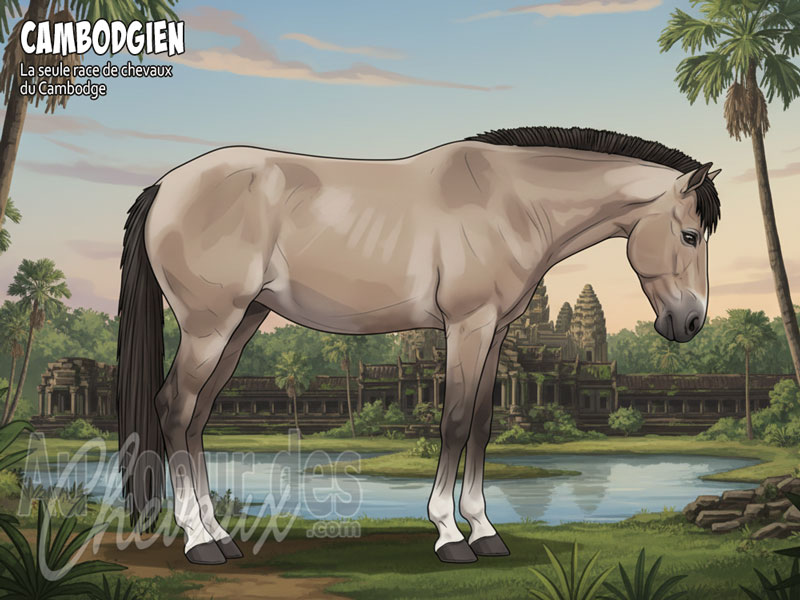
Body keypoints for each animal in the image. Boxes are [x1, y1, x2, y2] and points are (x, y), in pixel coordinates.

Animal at [116, 126, 721, 565]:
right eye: (690, 235)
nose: (691, 321)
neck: (511, 205)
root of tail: (166, 186)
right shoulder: (466, 325)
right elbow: (452, 423)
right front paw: (450, 535)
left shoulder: (496, 334)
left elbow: (482, 424)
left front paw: (485, 531)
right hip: (209, 323)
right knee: (175, 408)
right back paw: (198, 542)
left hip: (243, 321)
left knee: (198, 416)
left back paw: (220, 535)